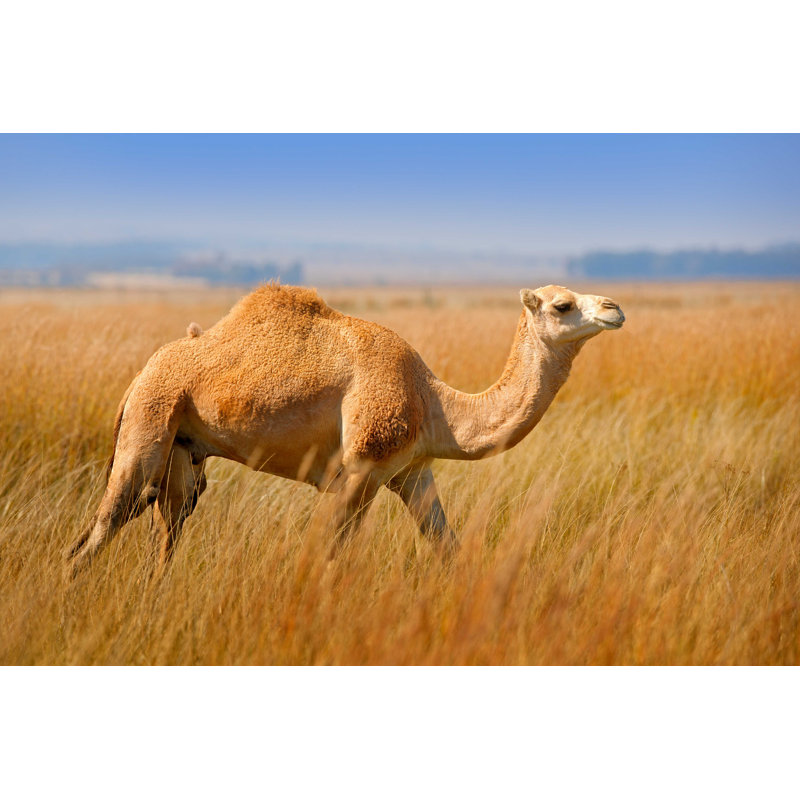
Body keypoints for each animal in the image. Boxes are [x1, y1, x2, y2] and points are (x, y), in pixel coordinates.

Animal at [66, 283, 624, 576]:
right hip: (148, 426)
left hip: (183, 455)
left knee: (165, 537)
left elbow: (447, 546)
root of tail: (139, 376)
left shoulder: (411, 471)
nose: (614, 307)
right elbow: (325, 557)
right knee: (96, 534)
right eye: (562, 305)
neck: (435, 404)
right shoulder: (358, 470)